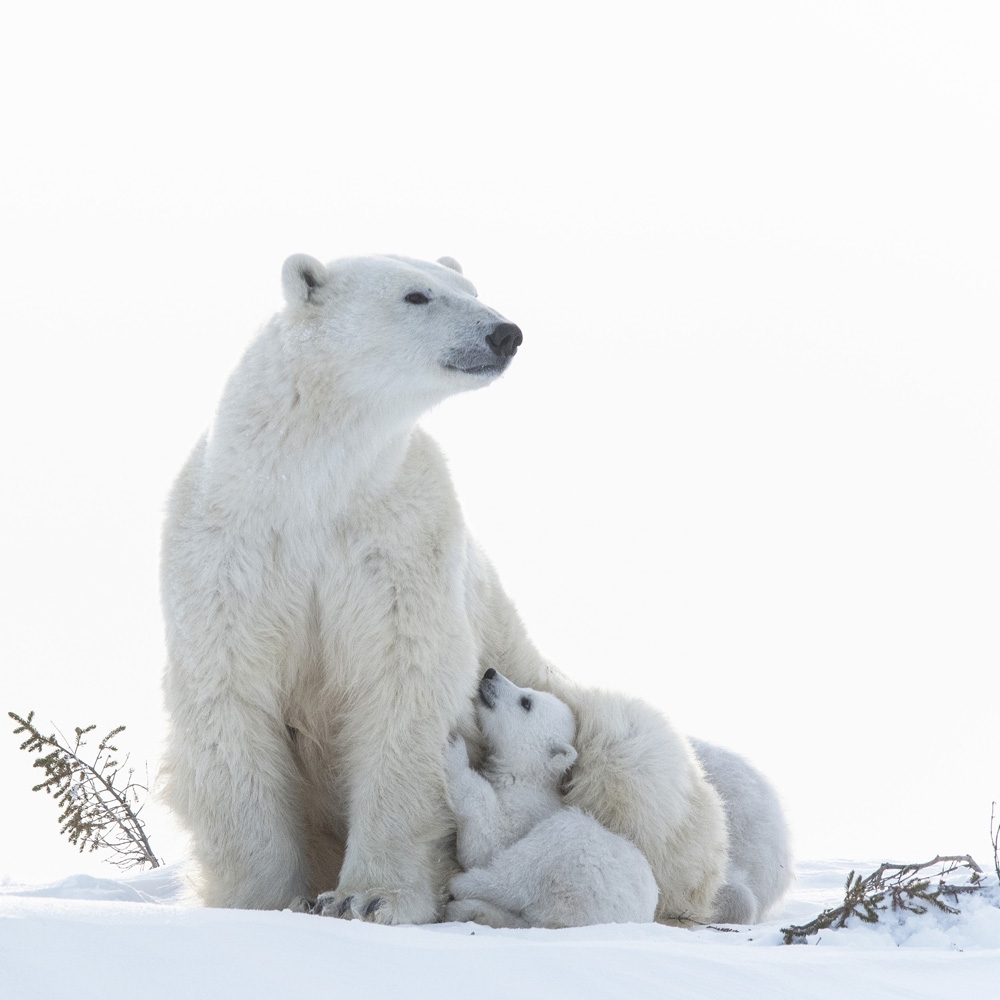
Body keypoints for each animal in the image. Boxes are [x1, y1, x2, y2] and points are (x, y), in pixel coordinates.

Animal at [442, 668, 659, 928]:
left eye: (526, 702)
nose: (490, 673)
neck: (528, 777)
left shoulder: (528, 809)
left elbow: (486, 845)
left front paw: (453, 749)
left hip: (585, 873)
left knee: (524, 869)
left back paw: (460, 887)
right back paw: (471, 911)